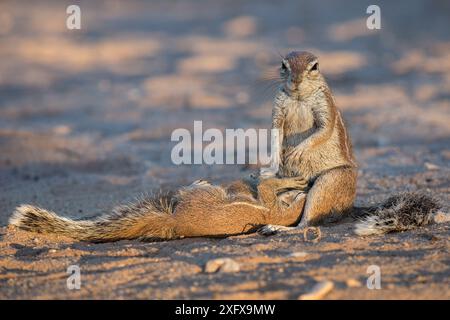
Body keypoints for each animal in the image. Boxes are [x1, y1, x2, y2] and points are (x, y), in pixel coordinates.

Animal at [8, 51, 440, 241]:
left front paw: (294, 160)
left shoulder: (324, 110)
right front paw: (273, 162)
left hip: (334, 182)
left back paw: (280, 221)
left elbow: (319, 130)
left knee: (309, 220)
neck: (299, 97)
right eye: (285, 65)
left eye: (315, 66)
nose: (297, 79)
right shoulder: (278, 111)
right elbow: (275, 135)